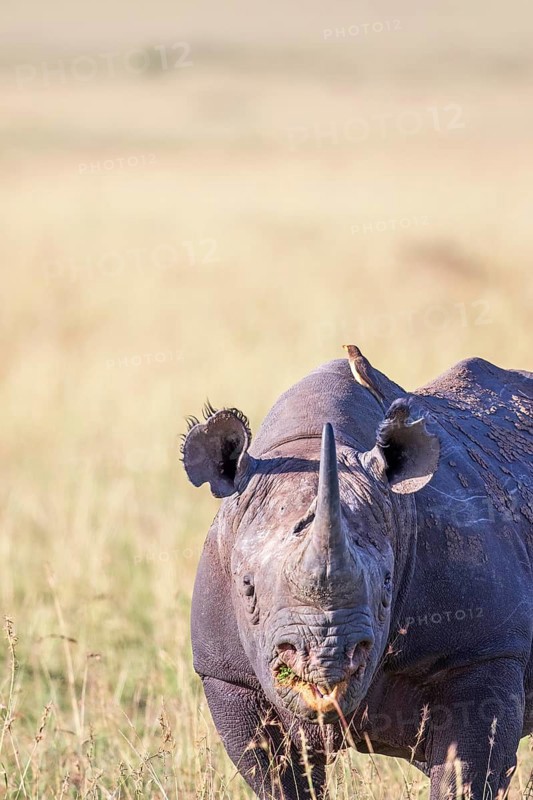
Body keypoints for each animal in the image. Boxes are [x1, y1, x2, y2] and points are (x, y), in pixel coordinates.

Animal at [182, 354, 533, 799]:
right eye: (247, 588)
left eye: (386, 585)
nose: (326, 659)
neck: (308, 442)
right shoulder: (227, 674)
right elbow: (278, 778)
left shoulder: (486, 650)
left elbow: (466, 774)